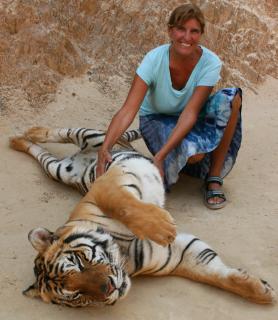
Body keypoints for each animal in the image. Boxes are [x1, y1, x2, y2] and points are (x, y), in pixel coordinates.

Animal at [9, 126, 276, 306]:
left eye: (78, 263)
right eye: (76, 295)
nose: (109, 288)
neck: (122, 254)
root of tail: (78, 159)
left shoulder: (105, 187)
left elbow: (123, 205)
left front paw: (164, 227)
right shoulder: (180, 255)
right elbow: (215, 275)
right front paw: (263, 291)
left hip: (90, 138)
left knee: (60, 133)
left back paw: (26, 134)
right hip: (59, 171)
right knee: (42, 154)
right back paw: (18, 141)